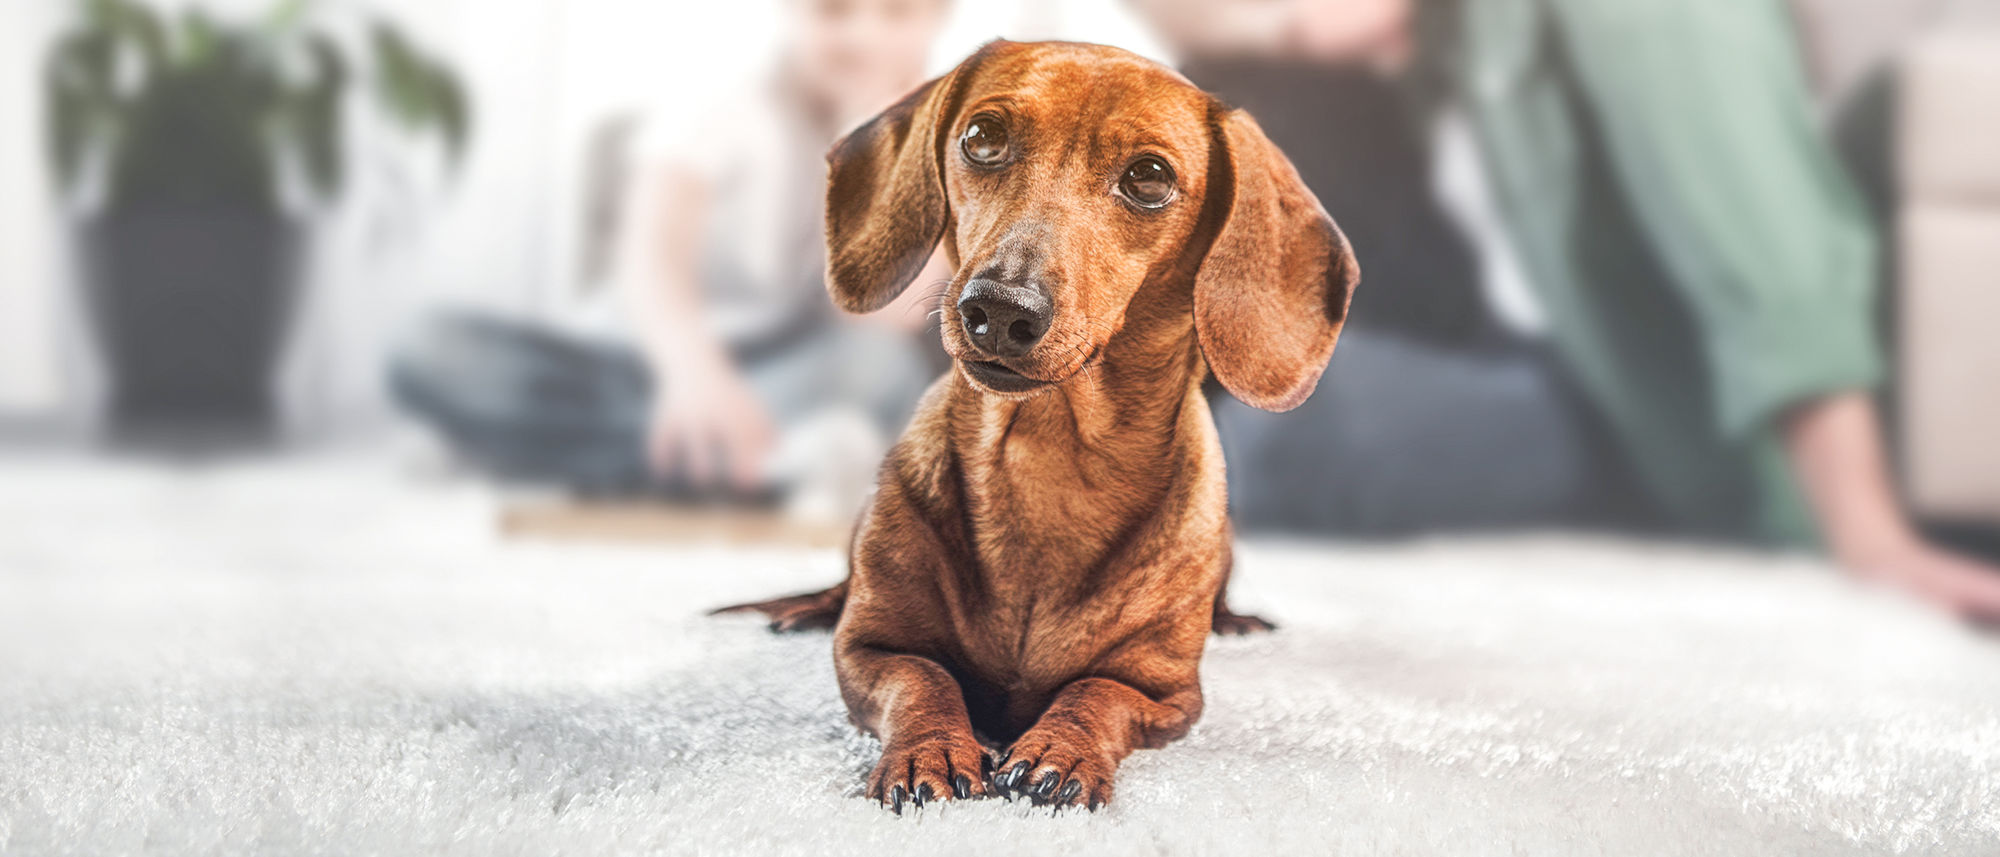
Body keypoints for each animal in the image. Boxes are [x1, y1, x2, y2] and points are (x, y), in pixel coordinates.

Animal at [720, 40, 1360, 812]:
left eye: (1149, 177)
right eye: (982, 136)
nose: (998, 308)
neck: (1046, 459)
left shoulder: (1163, 691)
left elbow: (1096, 693)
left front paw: (1059, 750)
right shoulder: (872, 652)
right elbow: (923, 679)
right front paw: (931, 749)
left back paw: (1234, 618)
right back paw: (804, 607)